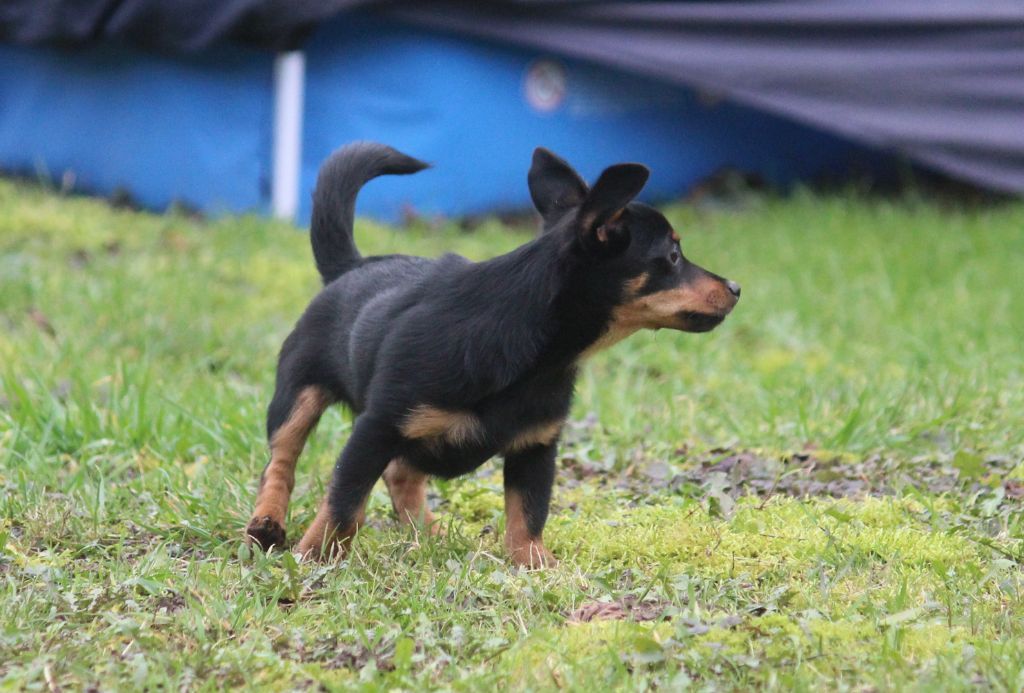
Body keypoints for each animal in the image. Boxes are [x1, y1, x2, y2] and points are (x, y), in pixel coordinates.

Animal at [250, 142, 741, 569]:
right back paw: (267, 524)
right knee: (282, 461)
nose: (736, 287)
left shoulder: (536, 446)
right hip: (298, 394)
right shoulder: (376, 428)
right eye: (673, 256)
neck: (539, 354)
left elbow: (528, 512)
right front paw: (315, 557)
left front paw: (536, 564)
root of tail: (349, 267)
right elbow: (345, 500)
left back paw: (428, 534)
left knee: (401, 474)